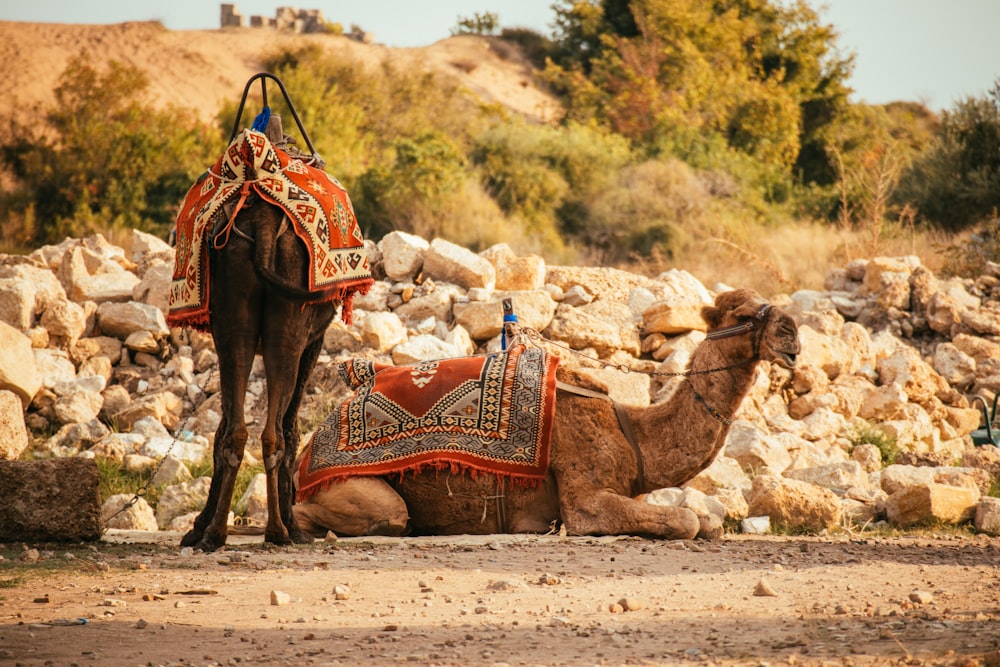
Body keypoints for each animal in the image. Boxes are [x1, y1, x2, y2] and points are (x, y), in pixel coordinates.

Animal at [292, 290, 800, 540]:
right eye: (742, 314)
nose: (793, 333)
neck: (632, 432)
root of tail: (306, 453)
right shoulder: (584, 497)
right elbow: (689, 522)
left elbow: (707, 523)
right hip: (351, 490)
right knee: (384, 517)